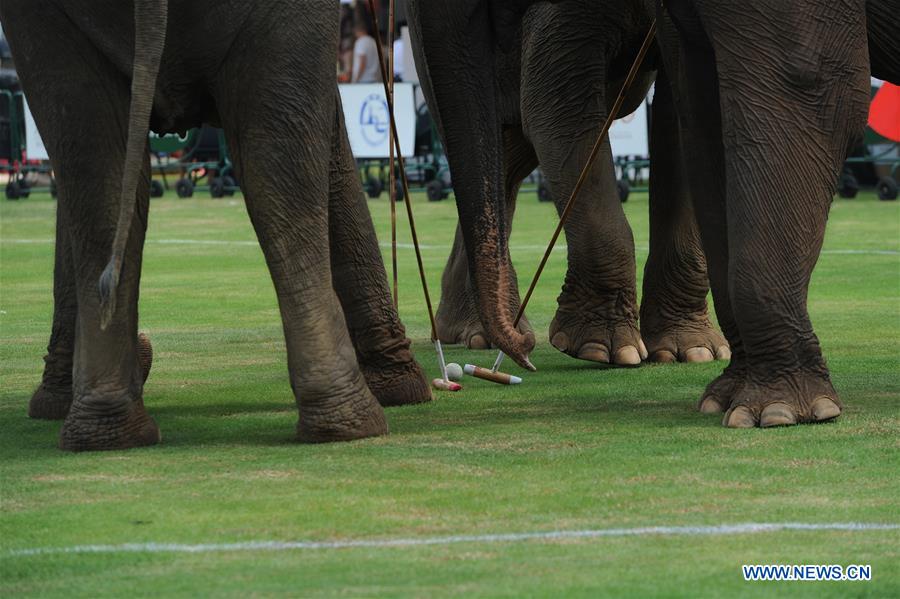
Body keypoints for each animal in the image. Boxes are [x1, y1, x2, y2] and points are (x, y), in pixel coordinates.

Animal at [412, 0, 728, 366]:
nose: (526, 349)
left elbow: (685, 111)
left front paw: (694, 352)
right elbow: (558, 105)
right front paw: (604, 349)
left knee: (505, 158)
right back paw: (482, 332)